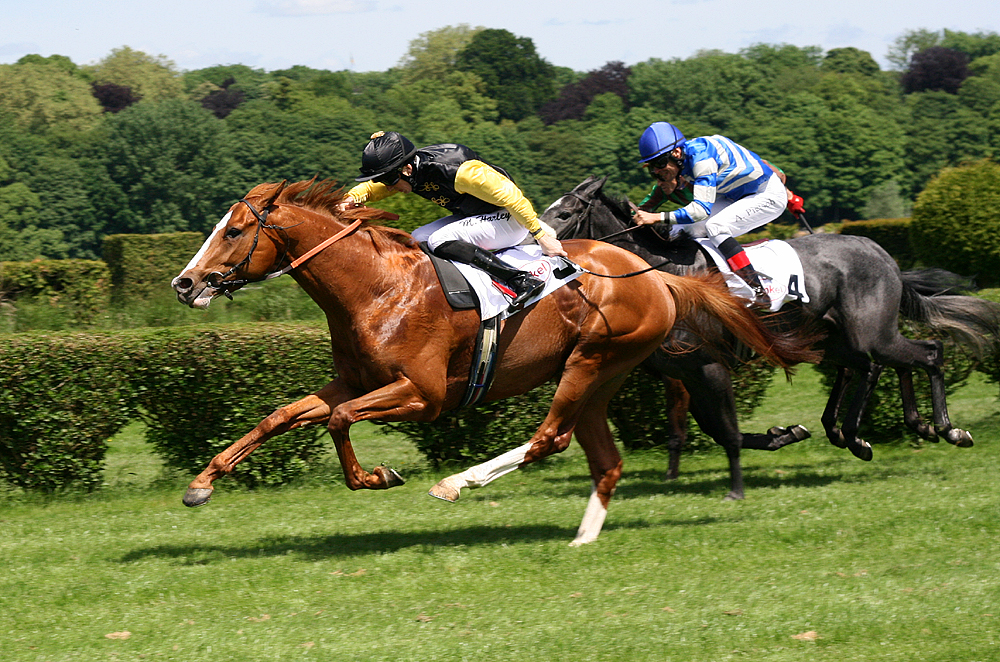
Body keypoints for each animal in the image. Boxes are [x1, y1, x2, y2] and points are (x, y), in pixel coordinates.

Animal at [174, 179, 820, 548]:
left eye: (233, 231)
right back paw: (583, 539)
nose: (185, 283)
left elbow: (337, 421)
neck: (377, 288)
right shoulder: (353, 381)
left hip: (591, 360)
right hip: (604, 373)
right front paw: (202, 483)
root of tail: (655, 275)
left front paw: (376, 476)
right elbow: (280, 416)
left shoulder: (425, 394)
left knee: (550, 439)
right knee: (604, 459)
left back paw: (456, 483)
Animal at [548, 179, 1000, 500]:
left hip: (870, 331)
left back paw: (941, 429)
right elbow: (713, 427)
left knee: (924, 354)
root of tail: (881, 251)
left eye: (566, 212)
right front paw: (784, 434)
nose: (537, 241)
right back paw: (897, 427)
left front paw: (739, 484)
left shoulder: (709, 365)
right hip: (841, 338)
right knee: (879, 365)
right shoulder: (684, 372)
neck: (664, 274)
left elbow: (724, 429)